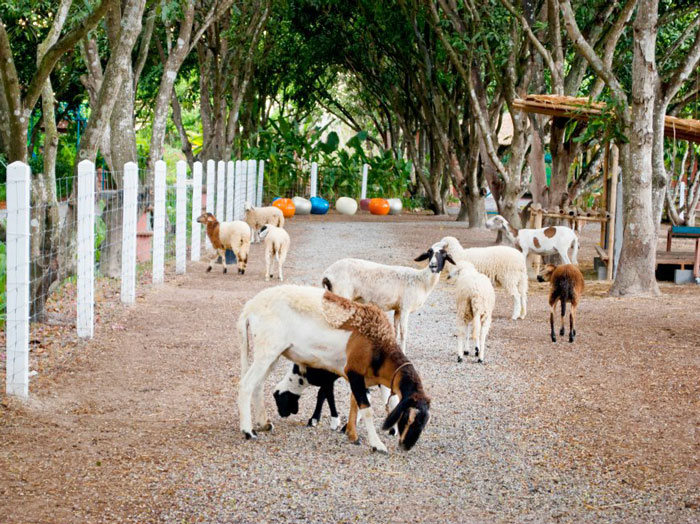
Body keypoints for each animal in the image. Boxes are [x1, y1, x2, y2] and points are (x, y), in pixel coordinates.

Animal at [237, 285, 431, 453]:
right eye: (408, 417)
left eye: (424, 422)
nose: (406, 446)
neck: (379, 343)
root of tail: (250, 307)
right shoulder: (354, 373)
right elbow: (366, 409)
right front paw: (377, 445)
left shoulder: (365, 378)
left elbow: (362, 403)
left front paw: (352, 434)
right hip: (267, 351)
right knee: (246, 385)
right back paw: (248, 431)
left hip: (273, 354)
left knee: (258, 385)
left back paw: (264, 423)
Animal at [321, 246, 454, 353]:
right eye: (429, 253)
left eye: (443, 254)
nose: (433, 266)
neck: (421, 281)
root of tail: (327, 275)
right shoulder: (405, 308)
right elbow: (403, 332)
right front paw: (404, 352)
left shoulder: (398, 309)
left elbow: (395, 331)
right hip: (342, 295)